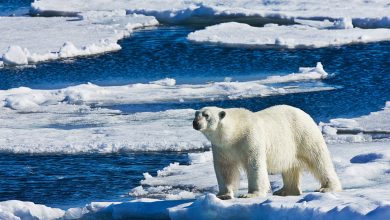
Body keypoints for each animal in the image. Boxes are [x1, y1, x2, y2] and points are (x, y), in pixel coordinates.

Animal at [192, 105, 342, 199]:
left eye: (206, 115)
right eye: (195, 114)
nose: (195, 123)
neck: (235, 132)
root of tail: (304, 113)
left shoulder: (250, 137)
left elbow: (255, 164)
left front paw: (250, 194)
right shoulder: (223, 148)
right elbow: (225, 168)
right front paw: (224, 195)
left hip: (303, 134)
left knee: (318, 159)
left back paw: (326, 188)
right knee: (290, 167)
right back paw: (285, 191)